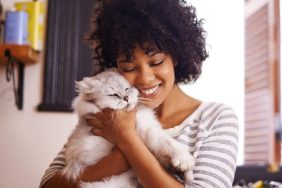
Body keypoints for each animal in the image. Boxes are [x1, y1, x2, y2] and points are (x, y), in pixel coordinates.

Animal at [61, 68, 194, 187]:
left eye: (126, 89)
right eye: (113, 95)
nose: (126, 98)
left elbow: (166, 145)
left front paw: (185, 172)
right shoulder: (145, 131)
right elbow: (167, 143)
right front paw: (184, 162)